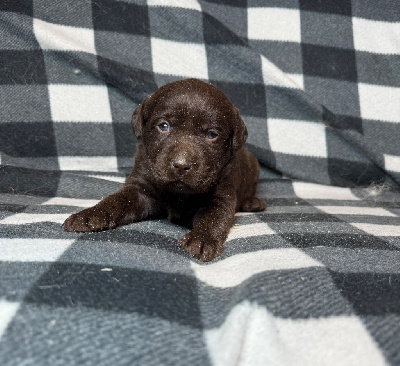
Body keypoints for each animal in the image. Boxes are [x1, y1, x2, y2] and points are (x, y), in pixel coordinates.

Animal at [64, 78, 266, 262]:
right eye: (163, 126)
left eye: (212, 135)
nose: (181, 164)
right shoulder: (140, 188)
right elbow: (116, 200)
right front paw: (90, 214)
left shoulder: (222, 195)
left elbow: (215, 217)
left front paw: (202, 239)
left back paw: (252, 203)